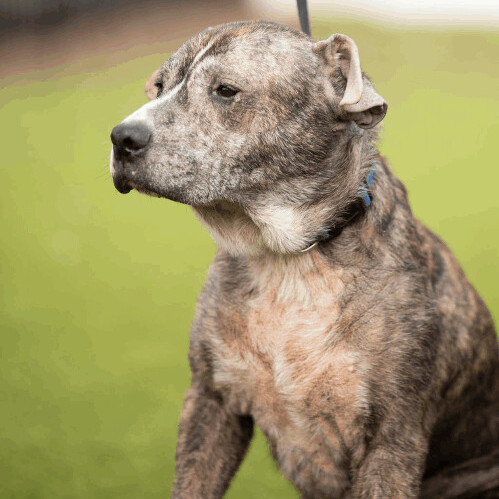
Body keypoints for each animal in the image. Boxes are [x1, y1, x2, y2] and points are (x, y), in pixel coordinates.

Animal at [110, 20, 499, 499]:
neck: (289, 262)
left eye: (225, 91)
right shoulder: (211, 401)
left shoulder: (392, 438)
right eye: (159, 86)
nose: (122, 137)